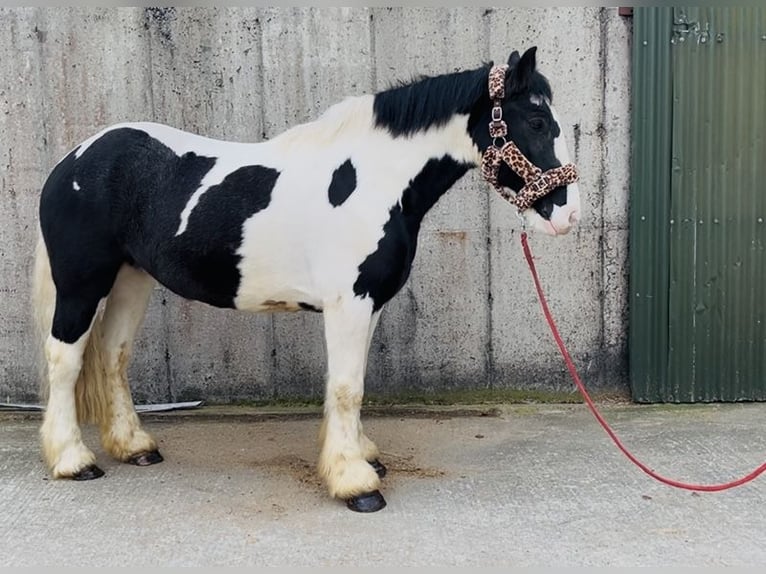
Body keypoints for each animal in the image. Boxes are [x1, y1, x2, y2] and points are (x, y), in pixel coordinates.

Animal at [31, 46, 580, 512]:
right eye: (536, 120)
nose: (566, 216)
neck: (373, 181)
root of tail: (74, 158)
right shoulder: (350, 303)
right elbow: (346, 388)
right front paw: (356, 484)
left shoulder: (369, 304)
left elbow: (354, 383)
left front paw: (362, 455)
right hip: (81, 283)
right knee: (65, 359)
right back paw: (73, 461)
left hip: (131, 279)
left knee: (111, 355)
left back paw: (134, 447)